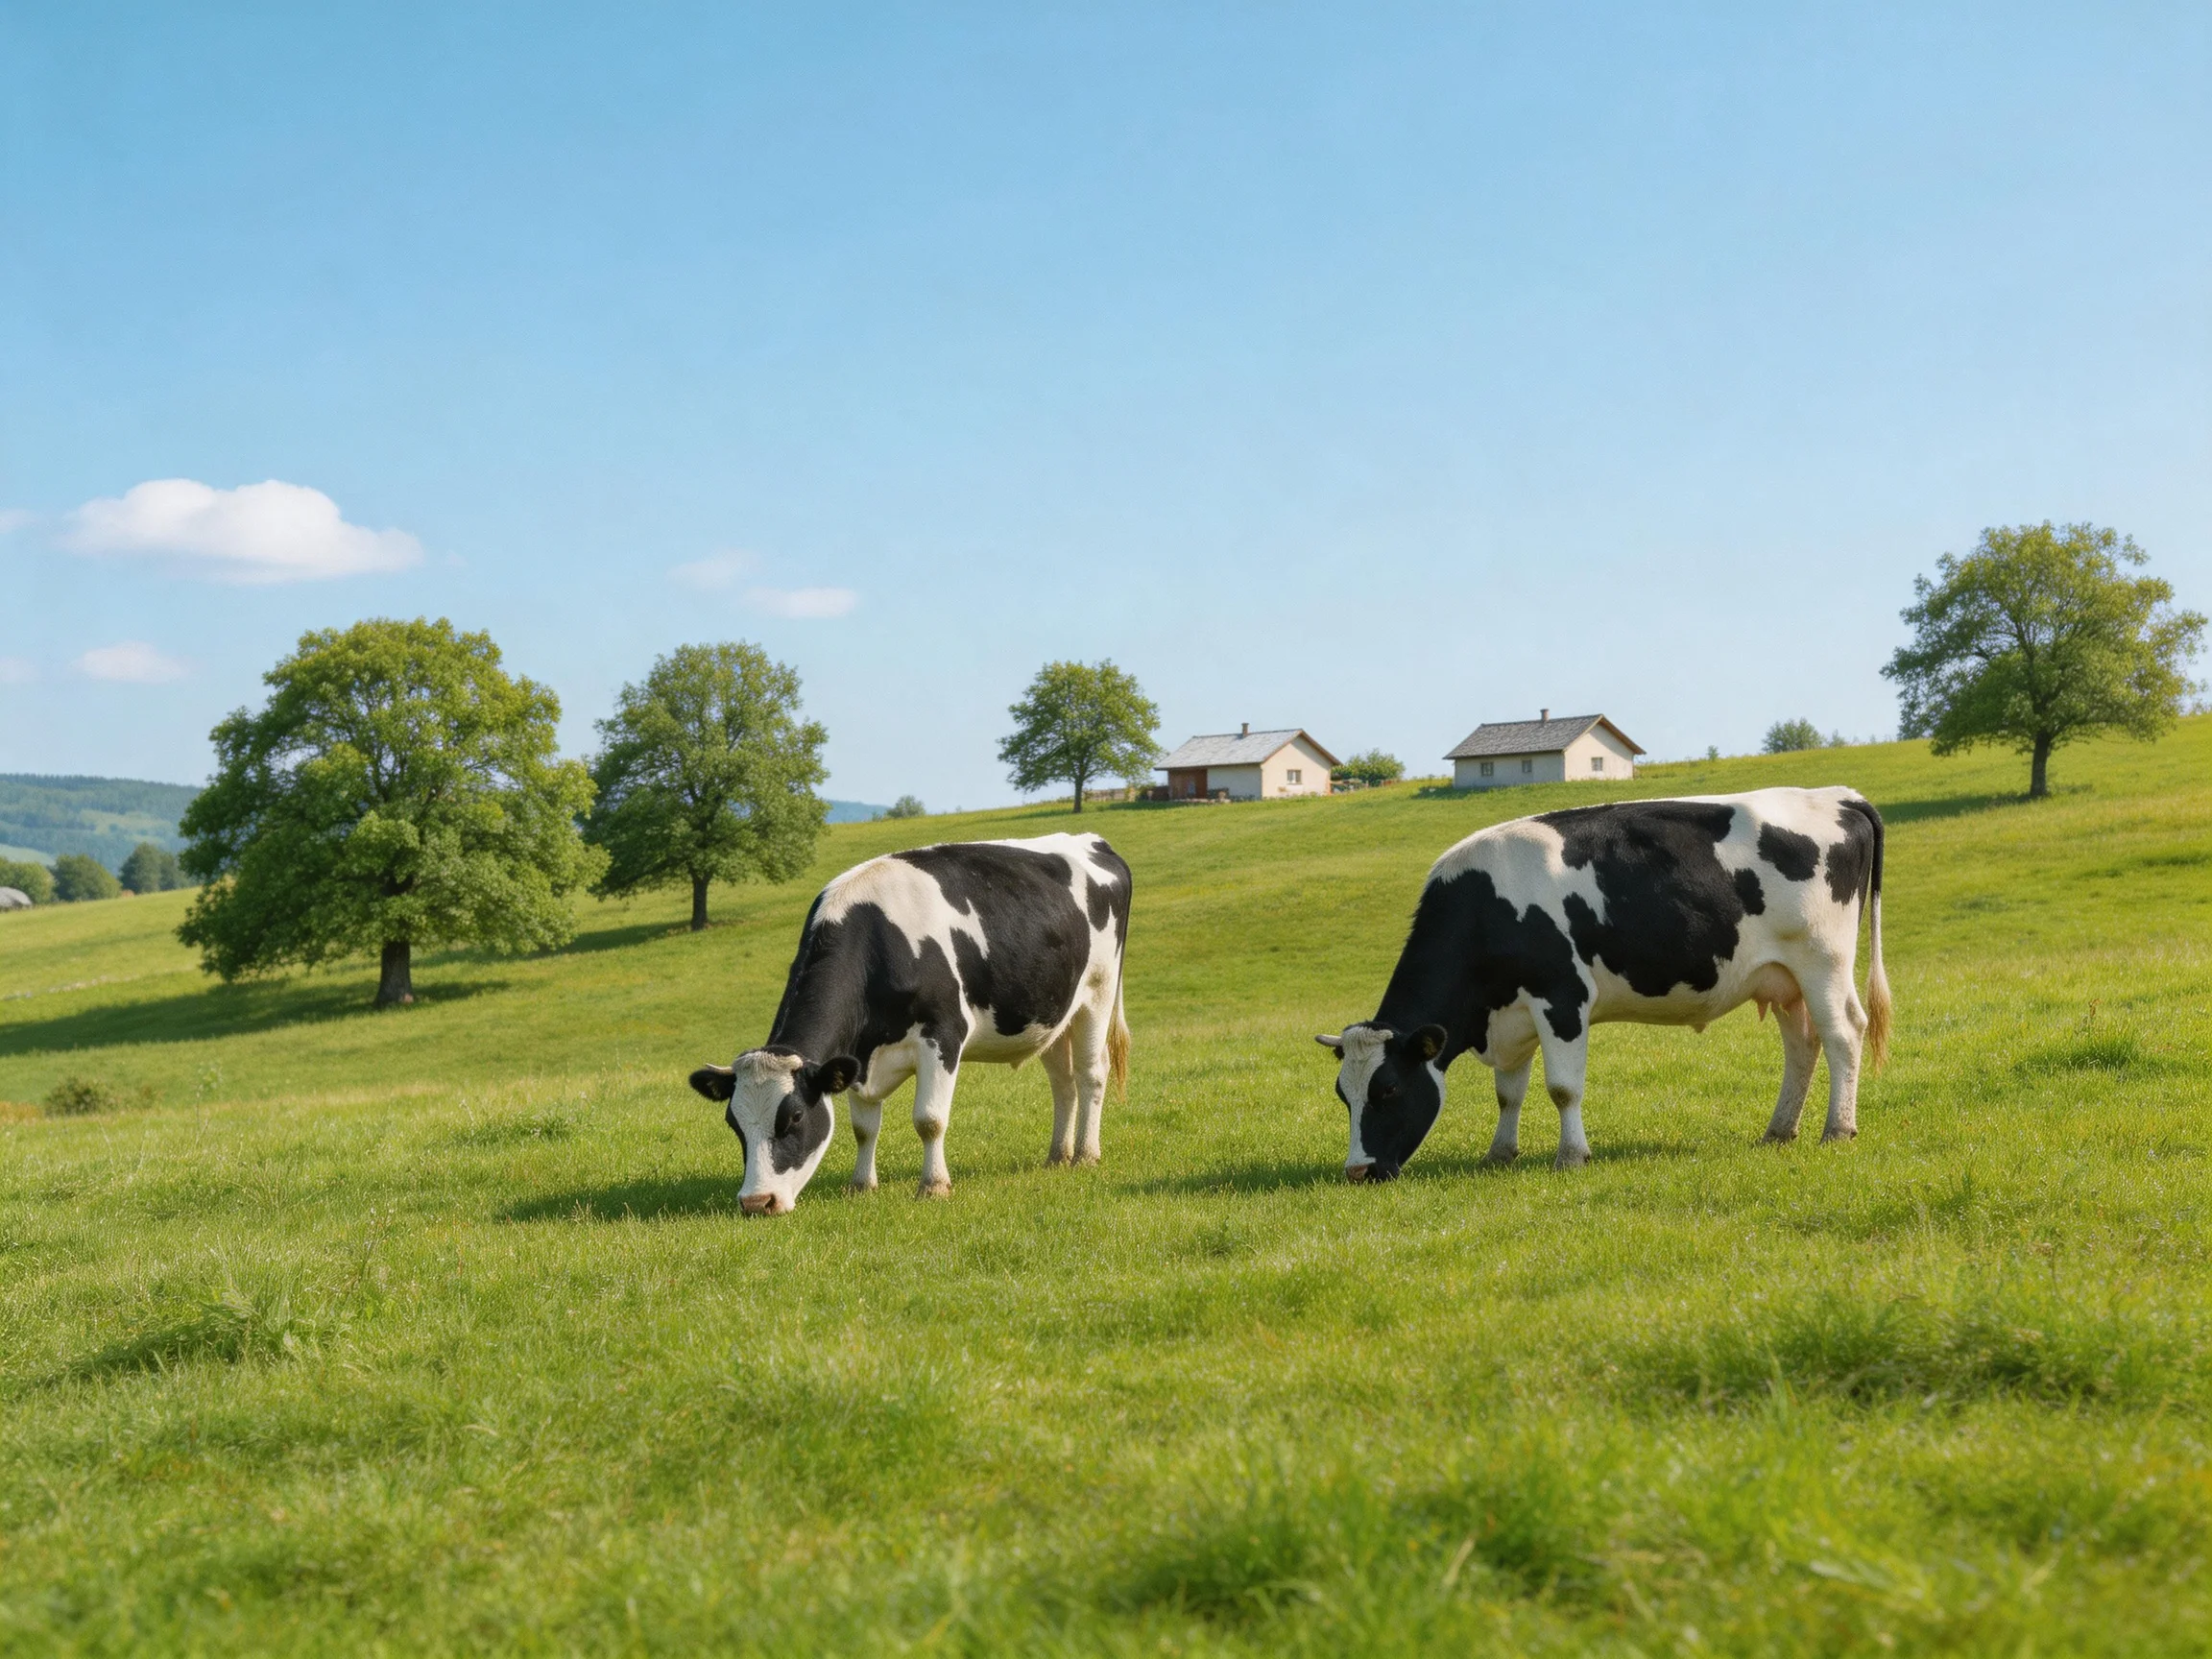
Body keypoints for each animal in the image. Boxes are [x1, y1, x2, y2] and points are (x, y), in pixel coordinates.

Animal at [689, 833, 1132, 1215]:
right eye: (733, 1122)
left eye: (795, 1116)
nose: (755, 1202)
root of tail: (1091, 840)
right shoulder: (857, 1056)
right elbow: (863, 1127)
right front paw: (861, 1186)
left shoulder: (943, 1035)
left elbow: (929, 1120)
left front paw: (933, 1186)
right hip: (1054, 1015)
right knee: (1063, 1082)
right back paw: (1058, 1156)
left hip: (1098, 992)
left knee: (1091, 1074)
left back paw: (1086, 1156)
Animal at [1317, 788, 1890, 1181]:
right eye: (1344, 1095)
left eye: (1388, 1089)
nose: (1358, 1172)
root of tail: (1837, 795)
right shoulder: (1514, 1014)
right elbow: (1509, 1093)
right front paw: (1500, 1153)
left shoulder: (1562, 998)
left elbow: (1562, 1088)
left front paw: (1571, 1156)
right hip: (1782, 979)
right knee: (1802, 1045)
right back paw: (1779, 1131)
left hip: (1823, 960)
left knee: (1843, 1034)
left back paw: (1837, 1130)